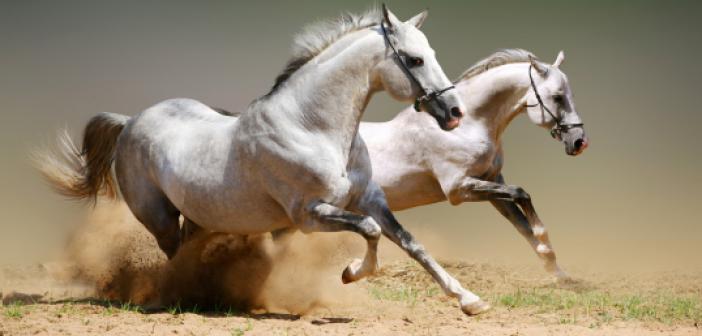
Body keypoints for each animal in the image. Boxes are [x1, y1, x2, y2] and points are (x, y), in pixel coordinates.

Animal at [364, 49, 588, 280]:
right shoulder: (458, 189)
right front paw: (544, 241)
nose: (579, 142)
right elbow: (521, 193)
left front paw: (559, 274)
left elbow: (521, 224)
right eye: (557, 97)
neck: (466, 126)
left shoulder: (492, 182)